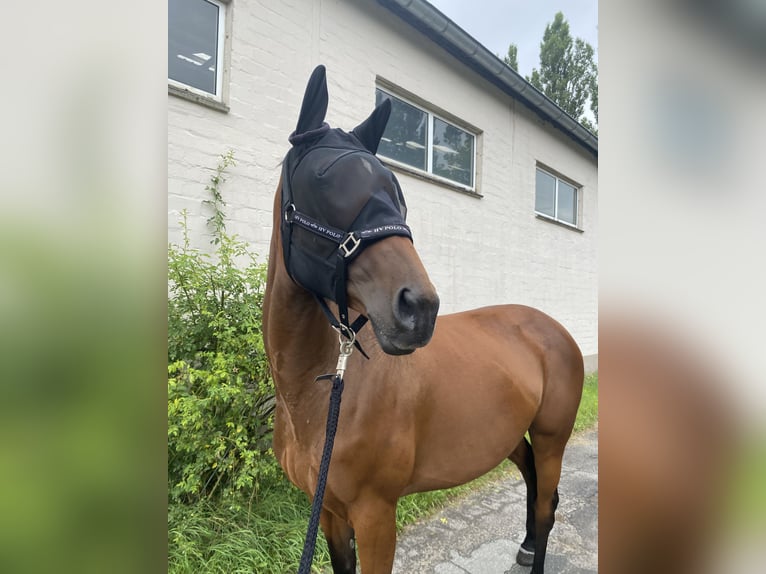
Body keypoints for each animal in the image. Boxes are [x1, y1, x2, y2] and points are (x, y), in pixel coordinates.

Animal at [260, 66, 584, 574]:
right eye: (322, 179)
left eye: (397, 191)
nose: (420, 308)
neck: (318, 401)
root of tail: (554, 330)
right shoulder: (328, 512)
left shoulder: (375, 517)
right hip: (510, 434)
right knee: (534, 488)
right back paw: (527, 546)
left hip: (554, 438)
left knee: (547, 505)